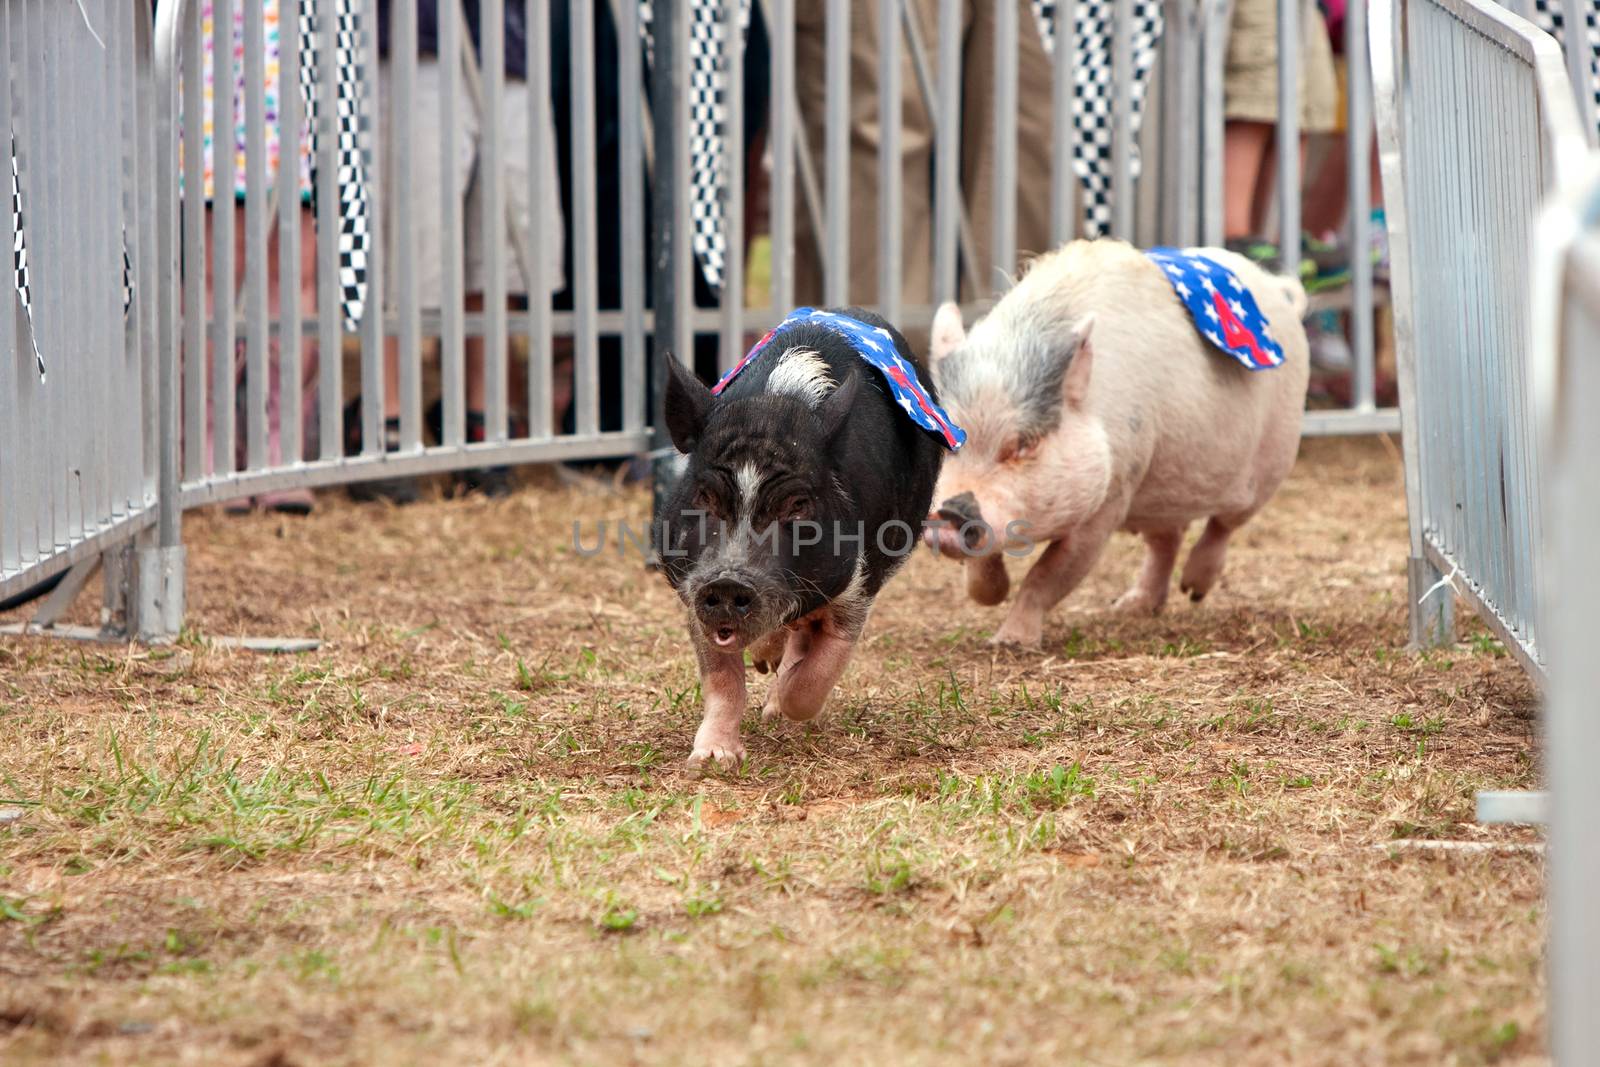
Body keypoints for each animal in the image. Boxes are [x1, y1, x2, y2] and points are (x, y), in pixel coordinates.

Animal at [928, 238, 1312, 646]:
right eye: (946, 438)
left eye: (1024, 445)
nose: (949, 513)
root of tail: (1274, 288)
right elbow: (984, 567)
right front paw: (992, 597)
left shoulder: (1110, 498)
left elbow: (1047, 576)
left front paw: (1010, 642)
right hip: (1163, 489)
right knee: (1166, 541)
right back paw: (1131, 607)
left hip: (1273, 457)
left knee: (1223, 525)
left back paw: (1193, 590)